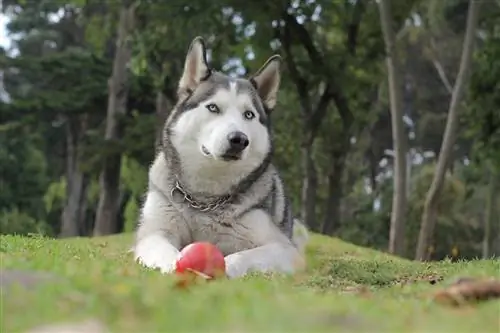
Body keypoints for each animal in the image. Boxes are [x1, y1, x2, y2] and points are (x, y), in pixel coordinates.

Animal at [135, 35, 310, 278]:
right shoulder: (154, 232)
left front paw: (224, 269)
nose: (239, 140)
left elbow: (242, 256)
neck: (205, 201)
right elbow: (166, 251)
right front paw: (178, 266)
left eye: (249, 114)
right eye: (213, 108)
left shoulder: (284, 248)